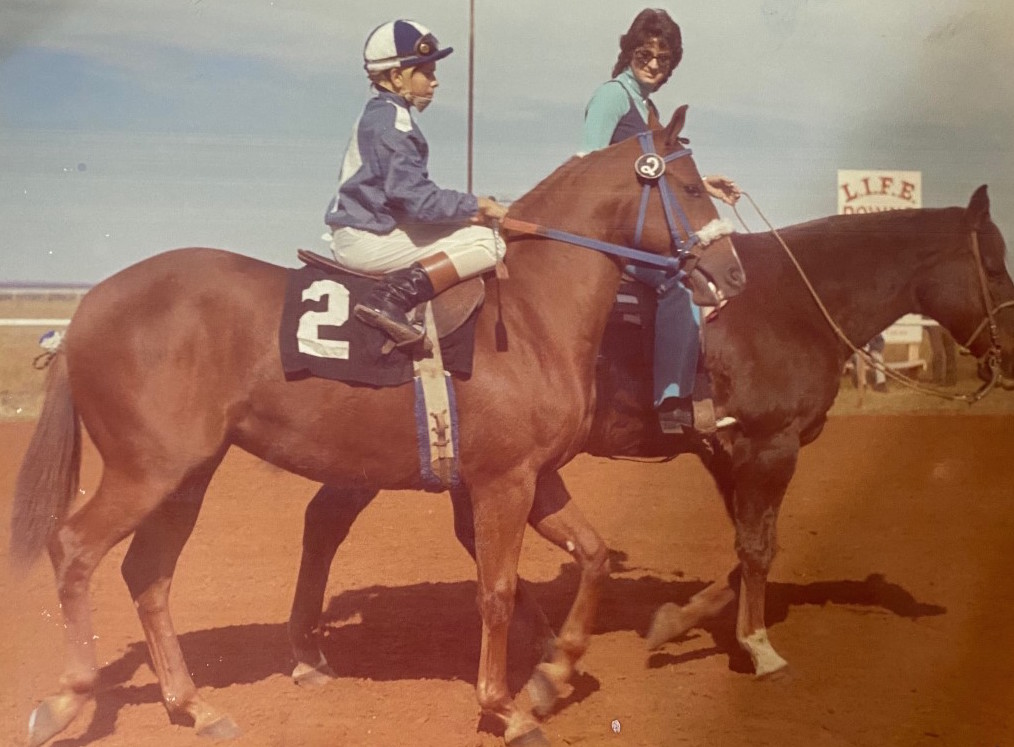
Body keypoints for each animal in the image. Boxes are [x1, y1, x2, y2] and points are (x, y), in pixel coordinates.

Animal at [3, 106, 742, 745]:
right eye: (688, 186)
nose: (730, 272)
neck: (532, 312)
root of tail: (90, 305)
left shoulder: (535, 475)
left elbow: (591, 555)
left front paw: (552, 673)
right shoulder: (502, 482)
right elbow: (497, 591)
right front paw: (504, 706)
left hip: (187, 475)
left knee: (149, 575)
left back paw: (193, 705)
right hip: (146, 470)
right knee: (75, 549)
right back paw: (67, 698)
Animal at [285, 187, 1014, 693]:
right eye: (998, 264)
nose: (1009, 350)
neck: (790, 304)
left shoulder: (727, 450)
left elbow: (744, 547)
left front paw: (680, 621)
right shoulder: (769, 445)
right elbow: (759, 548)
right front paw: (759, 647)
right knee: (329, 524)